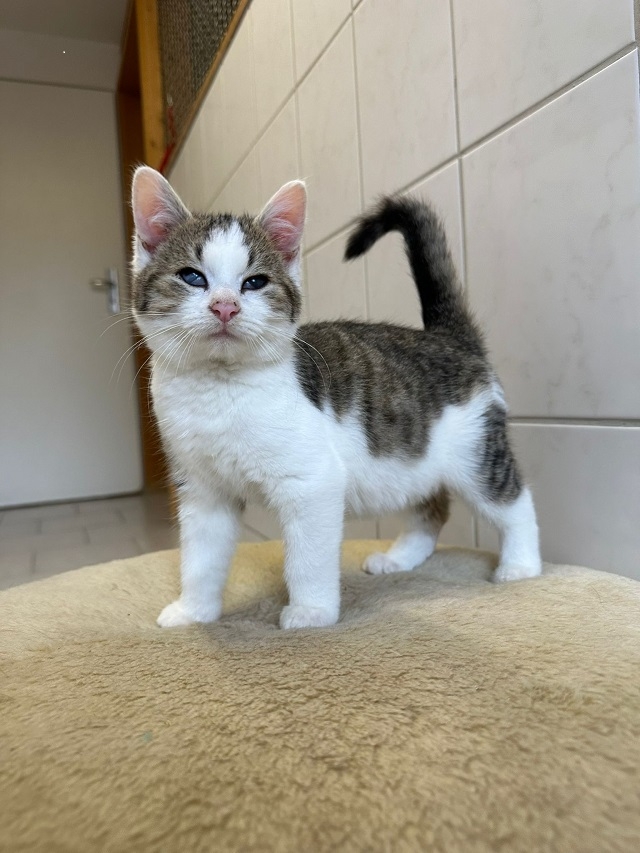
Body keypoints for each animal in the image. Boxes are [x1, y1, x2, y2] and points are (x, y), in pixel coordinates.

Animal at [131, 166, 541, 630]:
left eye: (254, 282)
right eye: (192, 277)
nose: (225, 307)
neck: (218, 390)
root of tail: (446, 337)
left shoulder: (313, 483)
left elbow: (308, 557)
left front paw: (311, 612)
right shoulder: (204, 491)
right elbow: (201, 558)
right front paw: (195, 611)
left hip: (475, 453)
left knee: (513, 501)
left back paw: (521, 565)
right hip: (416, 464)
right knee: (432, 507)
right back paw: (401, 557)